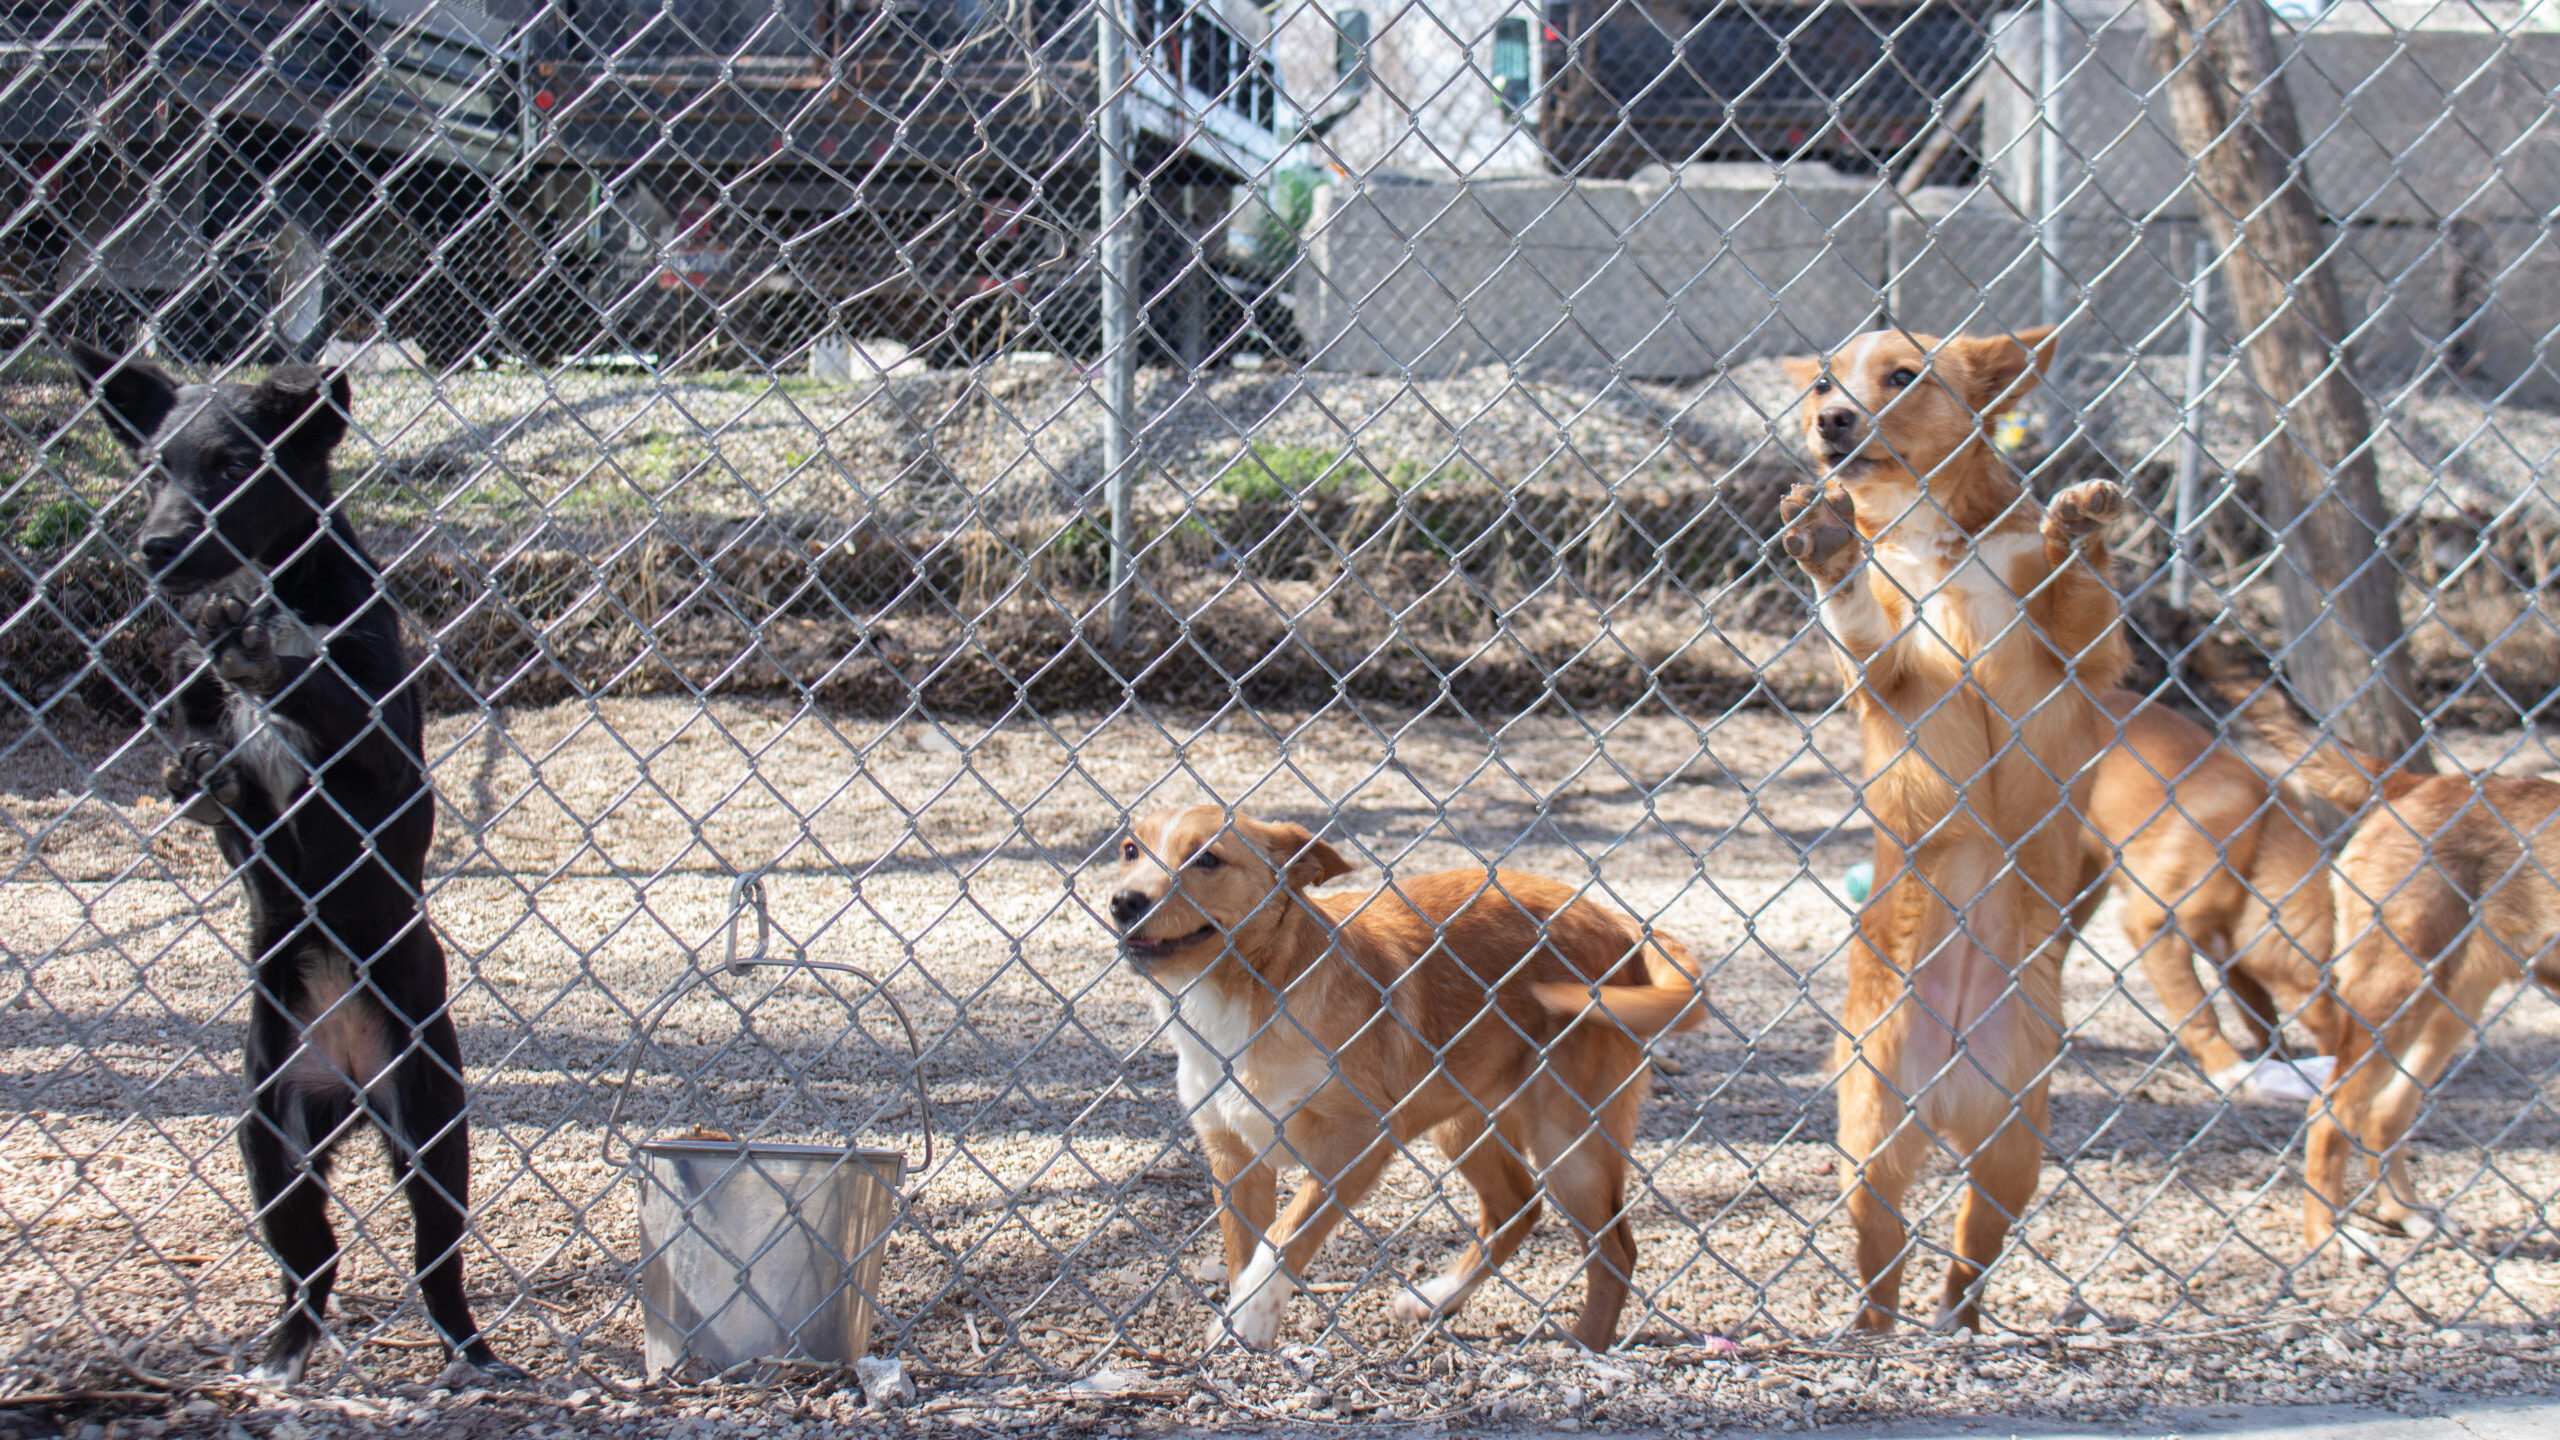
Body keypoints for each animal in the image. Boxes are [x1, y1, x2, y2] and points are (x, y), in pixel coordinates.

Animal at [68, 338, 514, 1383]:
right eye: (152, 469)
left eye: (236, 467)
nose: (154, 549)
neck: (270, 588)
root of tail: (347, 1081)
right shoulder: (211, 761)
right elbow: (207, 773)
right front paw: (207, 748)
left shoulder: (385, 769)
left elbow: (322, 694)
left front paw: (273, 655)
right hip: (271, 1138)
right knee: (310, 1260)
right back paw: (281, 1353)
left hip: (432, 1123)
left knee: (437, 1259)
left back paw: (469, 1352)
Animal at [1111, 799, 1710, 1352]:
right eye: (1130, 851)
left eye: (1208, 858)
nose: (1123, 903)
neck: (1246, 991)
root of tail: (1623, 924)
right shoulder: (1234, 1157)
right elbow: (1245, 1251)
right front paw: (1240, 1322)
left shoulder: (1358, 1142)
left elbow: (1284, 1238)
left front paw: (1252, 1320)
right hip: (1463, 1123)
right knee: (1517, 1208)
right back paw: (1439, 1298)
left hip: (1570, 1139)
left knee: (1615, 1250)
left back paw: (1585, 1347)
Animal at [1771, 322, 2129, 1322]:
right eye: (1822, 382)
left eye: (1903, 376)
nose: (1830, 420)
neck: (1935, 542)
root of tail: (1947, 1080)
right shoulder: (1887, 671)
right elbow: (1860, 620)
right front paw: (1829, 543)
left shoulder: (2076, 655)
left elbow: (2075, 588)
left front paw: (2078, 525)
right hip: (1868, 1143)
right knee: (1880, 1256)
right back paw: (1875, 1328)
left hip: (2013, 1153)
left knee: (1969, 1257)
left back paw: (1954, 1324)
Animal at [2078, 691, 2344, 1081]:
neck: (2259, 853)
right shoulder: (2157, 925)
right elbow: (2199, 1012)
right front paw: (2227, 1068)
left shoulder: (2231, 956)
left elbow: (2263, 1018)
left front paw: (2278, 1064)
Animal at [2242, 681, 2539, 1255]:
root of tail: (2411, 782)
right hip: (2397, 988)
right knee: (2333, 1114)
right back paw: (2326, 1236)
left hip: (2451, 998)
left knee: (2386, 1112)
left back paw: (2406, 1214)